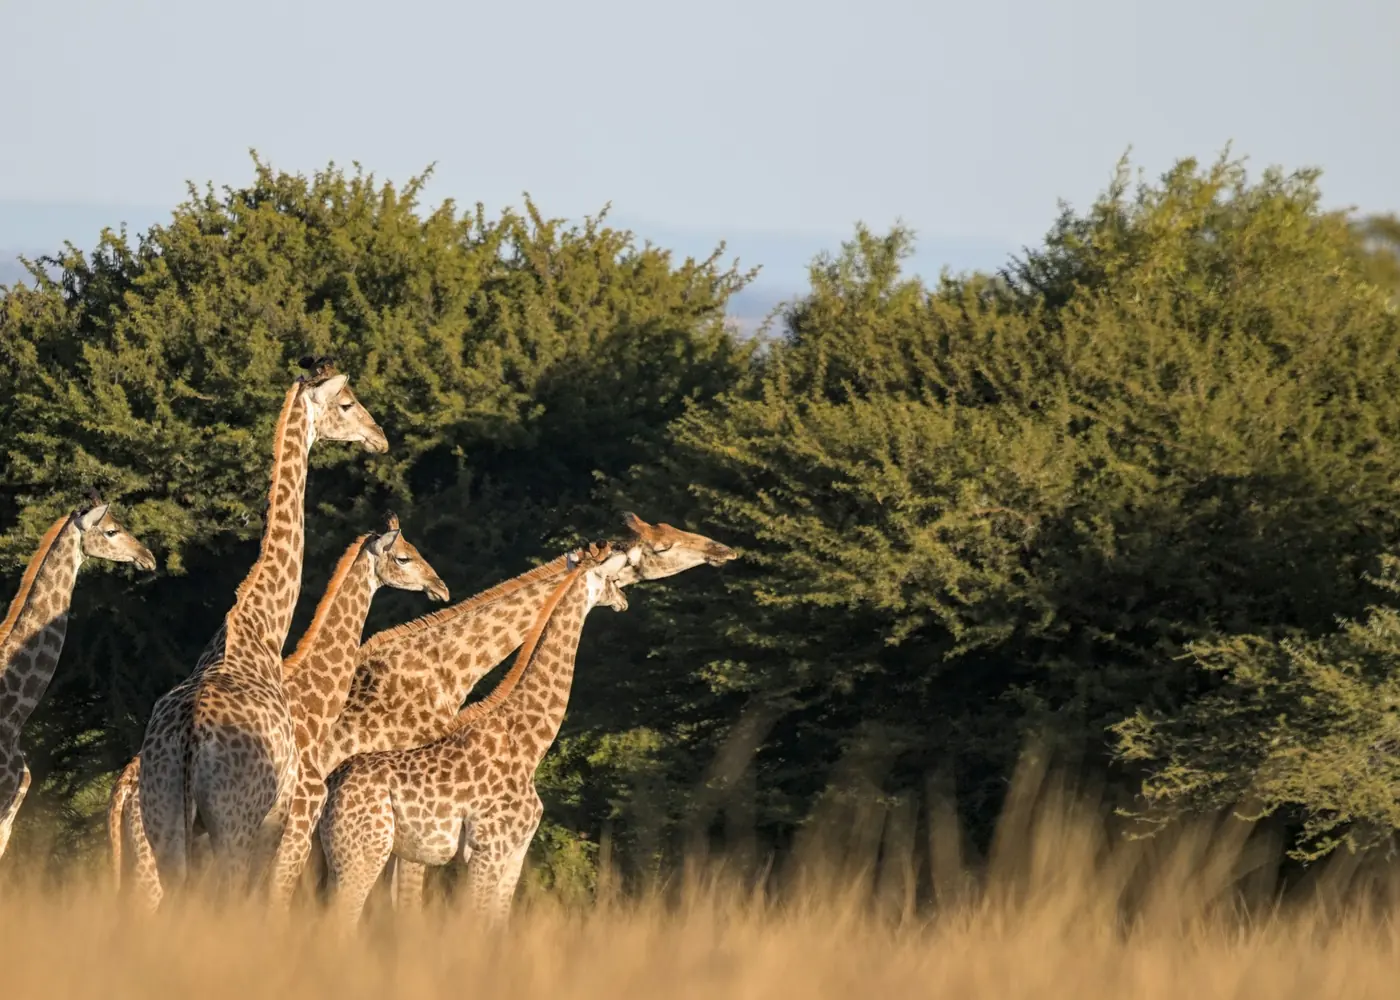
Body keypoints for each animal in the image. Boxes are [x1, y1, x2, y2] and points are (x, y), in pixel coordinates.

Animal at [110, 514, 449, 909]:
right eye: (403, 557)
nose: (440, 586)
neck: (317, 708)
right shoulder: (295, 823)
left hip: (167, 821)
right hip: (229, 827)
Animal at [137, 360, 388, 899]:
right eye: (346, 403)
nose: (378, 436)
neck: (262, 627)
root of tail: (188, 738)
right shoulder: (281, 816)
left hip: (163, 816)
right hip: (236, 822)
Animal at [319, 515, 737, 929]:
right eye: (662, 545)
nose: (724, 551)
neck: (526, 741)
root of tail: (334, 785)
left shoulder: (514, 854)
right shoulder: (485, 848)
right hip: (363, 848)